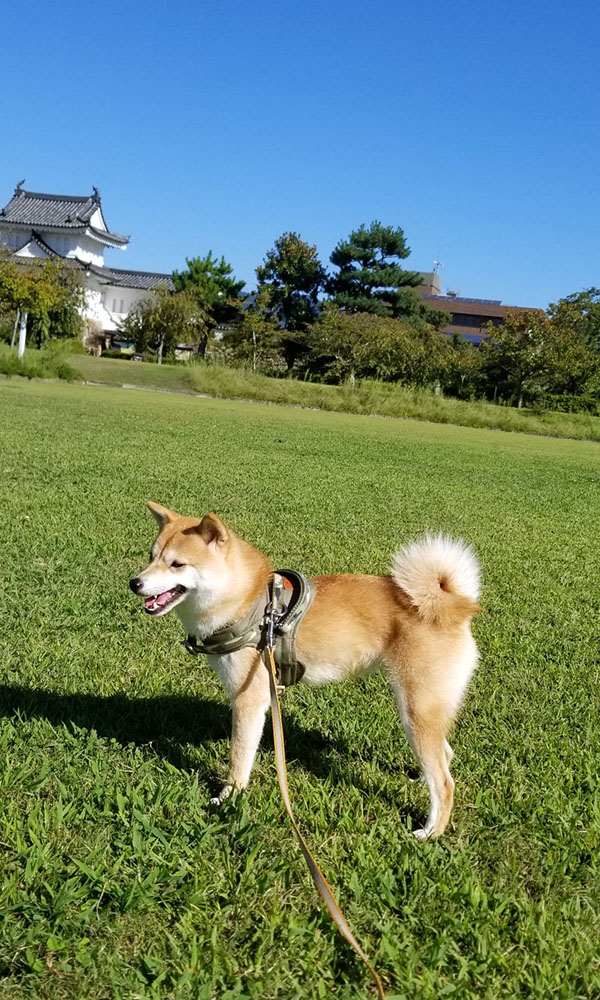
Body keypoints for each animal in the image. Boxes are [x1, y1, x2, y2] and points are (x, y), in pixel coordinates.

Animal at [129, 504, 480, 840]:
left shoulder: (248, 700)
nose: (135, 583)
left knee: (445, 783)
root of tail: (454, 605)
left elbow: (238, 759)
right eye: (151, 556)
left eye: (178, 564)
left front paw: (228, 798)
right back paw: (421, 778)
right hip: (425, 711)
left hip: (415, 708)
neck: (249, 604)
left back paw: (431, 832)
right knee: (444, 754)